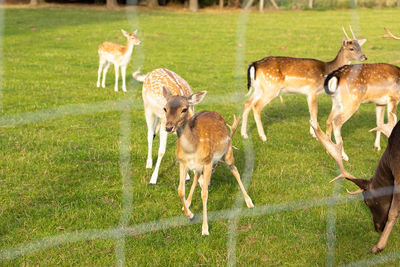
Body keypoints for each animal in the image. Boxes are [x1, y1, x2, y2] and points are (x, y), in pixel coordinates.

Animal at [162, 87, 253, 236]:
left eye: (184, 109)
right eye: (165, 108)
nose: (169, 127)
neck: (193, 148)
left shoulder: (208, 162)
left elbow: (204, 194)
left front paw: (205, 229)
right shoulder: (183, 163)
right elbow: (180, 190)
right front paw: (190, 214)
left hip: (228, 152)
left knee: (235, 170)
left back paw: (249, 201)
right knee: (197, 177)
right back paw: (188, 203)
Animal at [239, 27, 368, 142]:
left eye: (360, 47)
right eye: (351, 48)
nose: (364, 57)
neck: (327, 71)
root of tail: (254, 65)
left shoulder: (308, 93)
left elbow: (310, 112)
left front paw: (313, 133)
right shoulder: (313, 90)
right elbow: (314, 112)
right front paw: (316, 136)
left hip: (259, 88)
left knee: (247, 103)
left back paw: (244, 134)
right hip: (271, 87)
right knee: (256, 106)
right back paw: (263, 137)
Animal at [324, 27, 400, 161]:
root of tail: (335, 75)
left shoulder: (380, 102)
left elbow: (380, 123)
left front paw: (377, 147)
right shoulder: (393, 97)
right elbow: (391, 124)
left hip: (336, 101)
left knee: (329, 120)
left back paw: (329, 151)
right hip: (352, 100)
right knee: (336, 122)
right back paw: (344, 156)